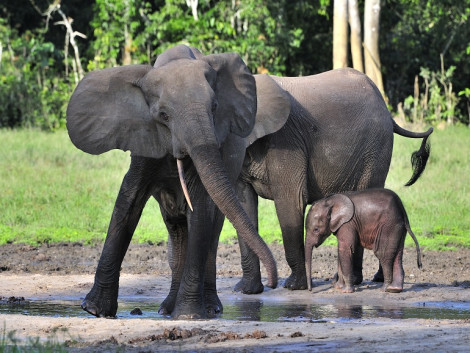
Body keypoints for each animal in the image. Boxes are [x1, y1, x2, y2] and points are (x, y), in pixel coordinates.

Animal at [65, 44, 286, 320]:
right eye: (163, 115)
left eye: (215, 107)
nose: (273, 283)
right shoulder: (144, 140)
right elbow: (128, 201)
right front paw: (94, 310)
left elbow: (200, 209)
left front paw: (189, 316)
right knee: (177, 231)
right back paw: (166, 309)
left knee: (210, 232)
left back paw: (208, 309)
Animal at [233, 68, 432, 292]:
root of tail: (387, 110)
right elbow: (244, 204)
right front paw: (246, 290)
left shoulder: (285, 140)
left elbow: (291, 200)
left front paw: (294, 287)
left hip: (376, 148)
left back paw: (363, 280)